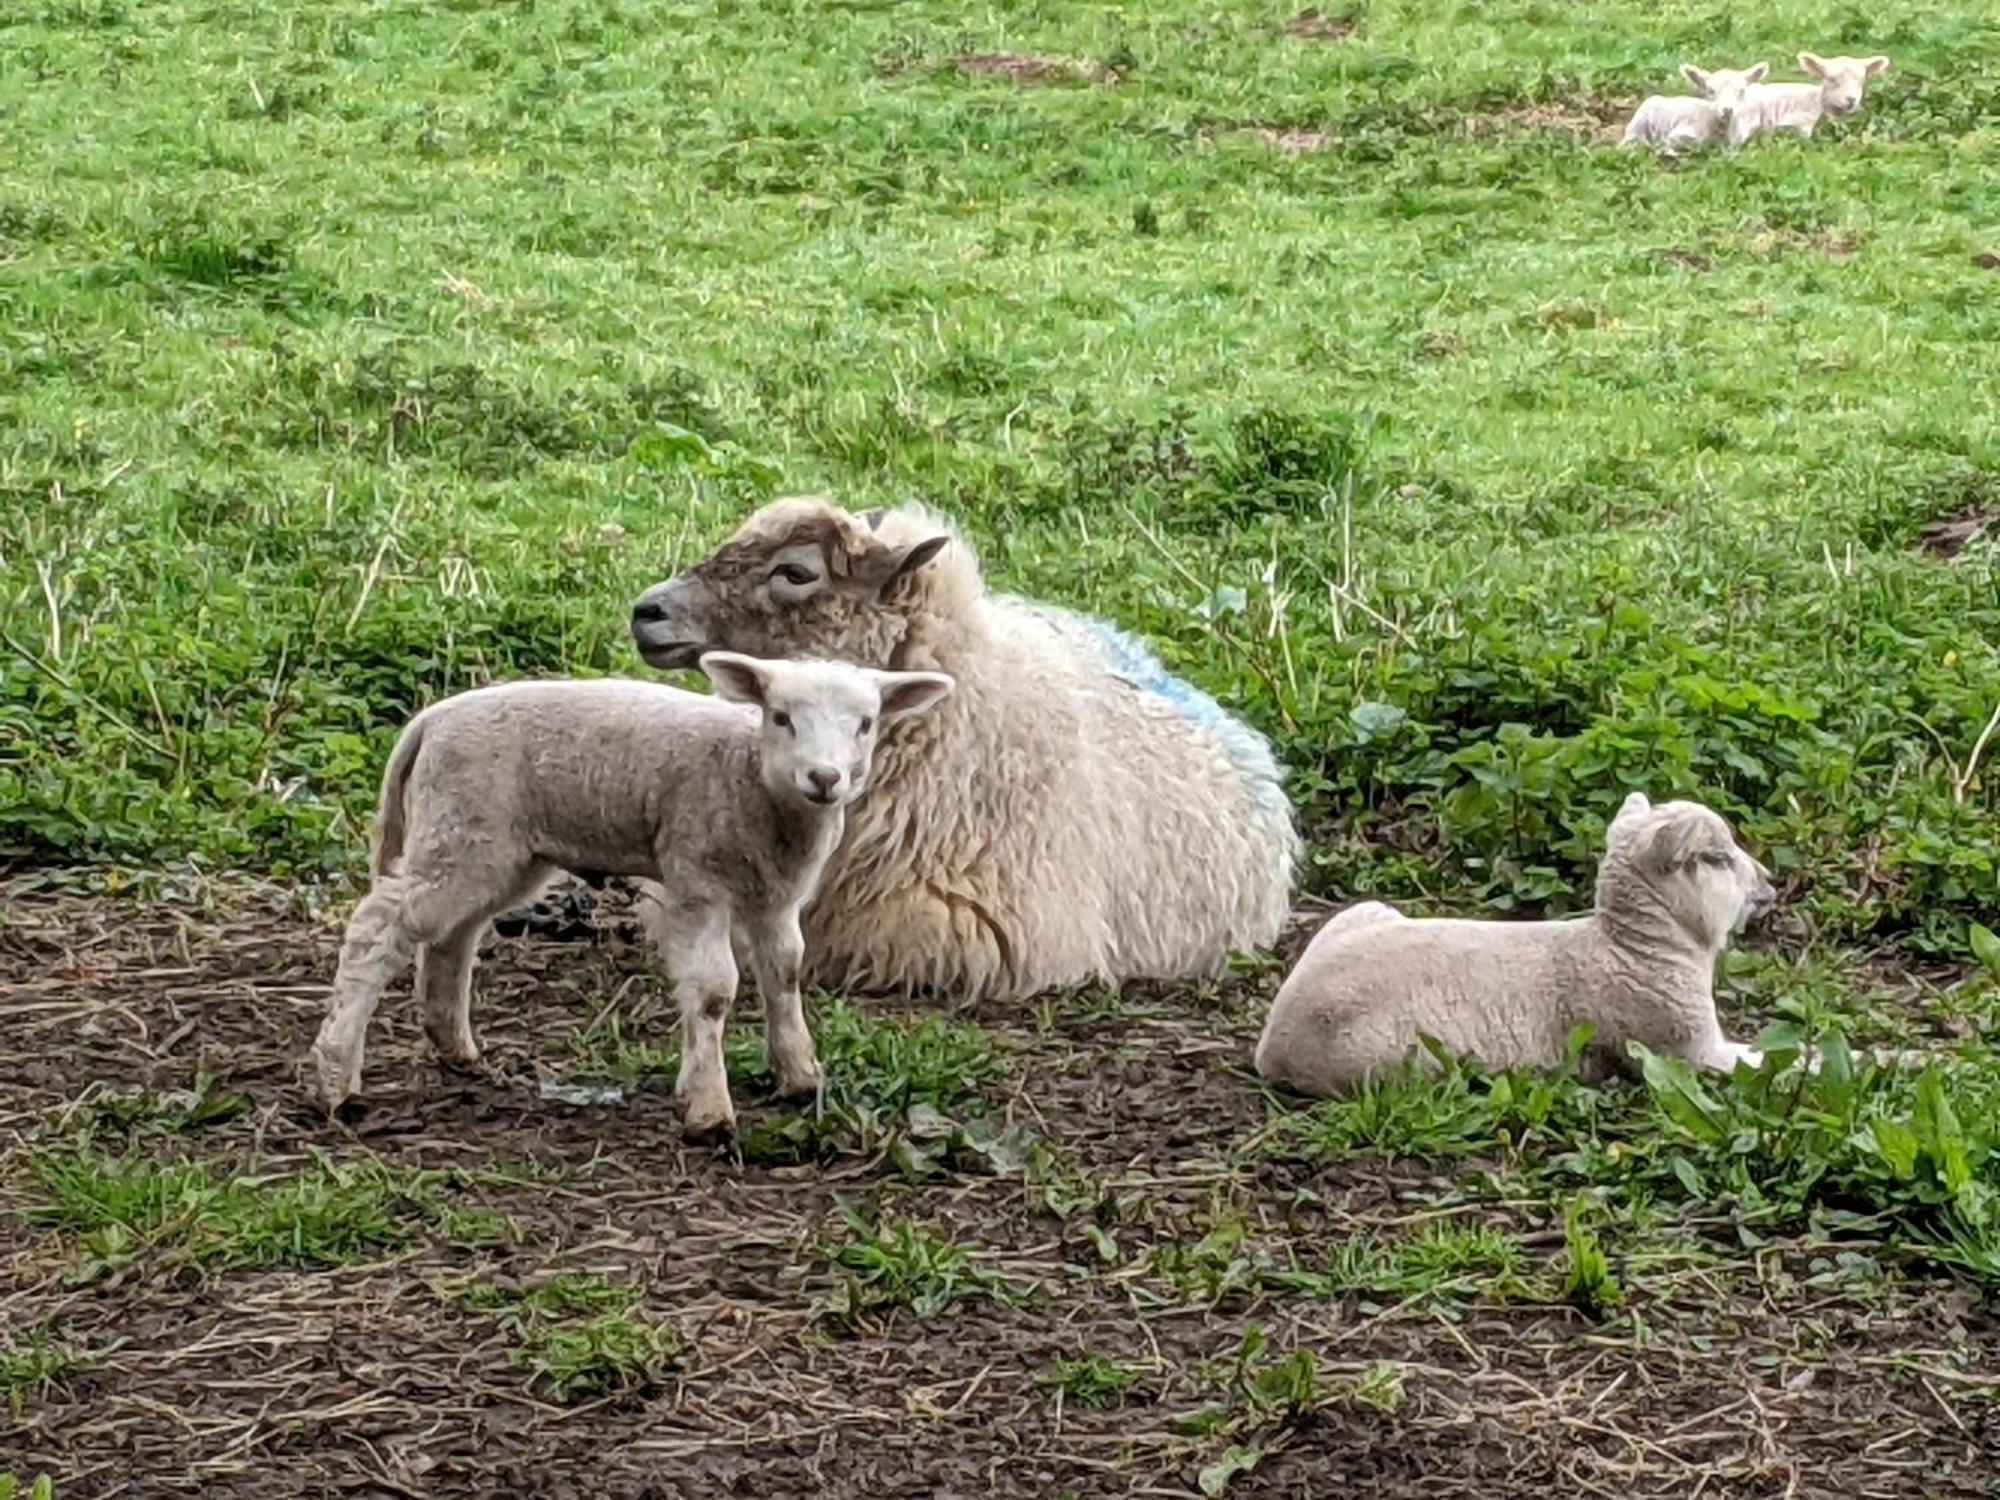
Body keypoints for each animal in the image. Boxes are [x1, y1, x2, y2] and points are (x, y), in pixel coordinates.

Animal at [310, 652, 952, 1136]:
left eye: (865, 722)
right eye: (780, 717)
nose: (824, 778)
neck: (755, 782)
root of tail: (431, 720)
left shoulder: (776, 897)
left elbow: (786, 971)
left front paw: (799, 1074)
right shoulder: (696, 879)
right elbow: (714, 989)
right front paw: (708, 1108)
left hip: (495, 845)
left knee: (452, 934)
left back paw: (455, 1046)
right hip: (462, 826)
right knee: (378, 929)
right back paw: (337, 1077)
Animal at [1256, 792, 1776, 1096]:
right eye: (1717, 858)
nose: (1769, 881)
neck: (1629, 947)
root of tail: (1271, 1046)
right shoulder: (1681, 1049)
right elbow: (1765, 1062)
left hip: (1364, 912)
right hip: (1400, 1061)